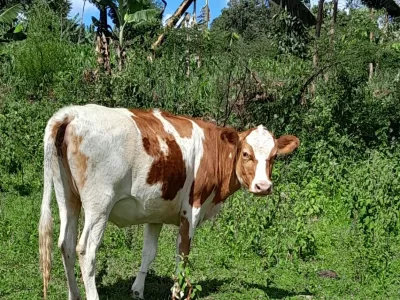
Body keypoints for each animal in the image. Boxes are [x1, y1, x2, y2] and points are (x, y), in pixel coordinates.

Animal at [38, 103, 300, 300]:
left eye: (274, 157)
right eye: (246, 153)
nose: (263, 186)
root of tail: (73, 113)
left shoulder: (154, 211)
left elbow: (149, 252)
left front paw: (137, 290)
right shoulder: (192, 210)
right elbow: (183, 253)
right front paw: (178, 292)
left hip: (67, 196)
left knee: (65, 244)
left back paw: (74, 295)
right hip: (99, 203)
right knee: (86, 250)